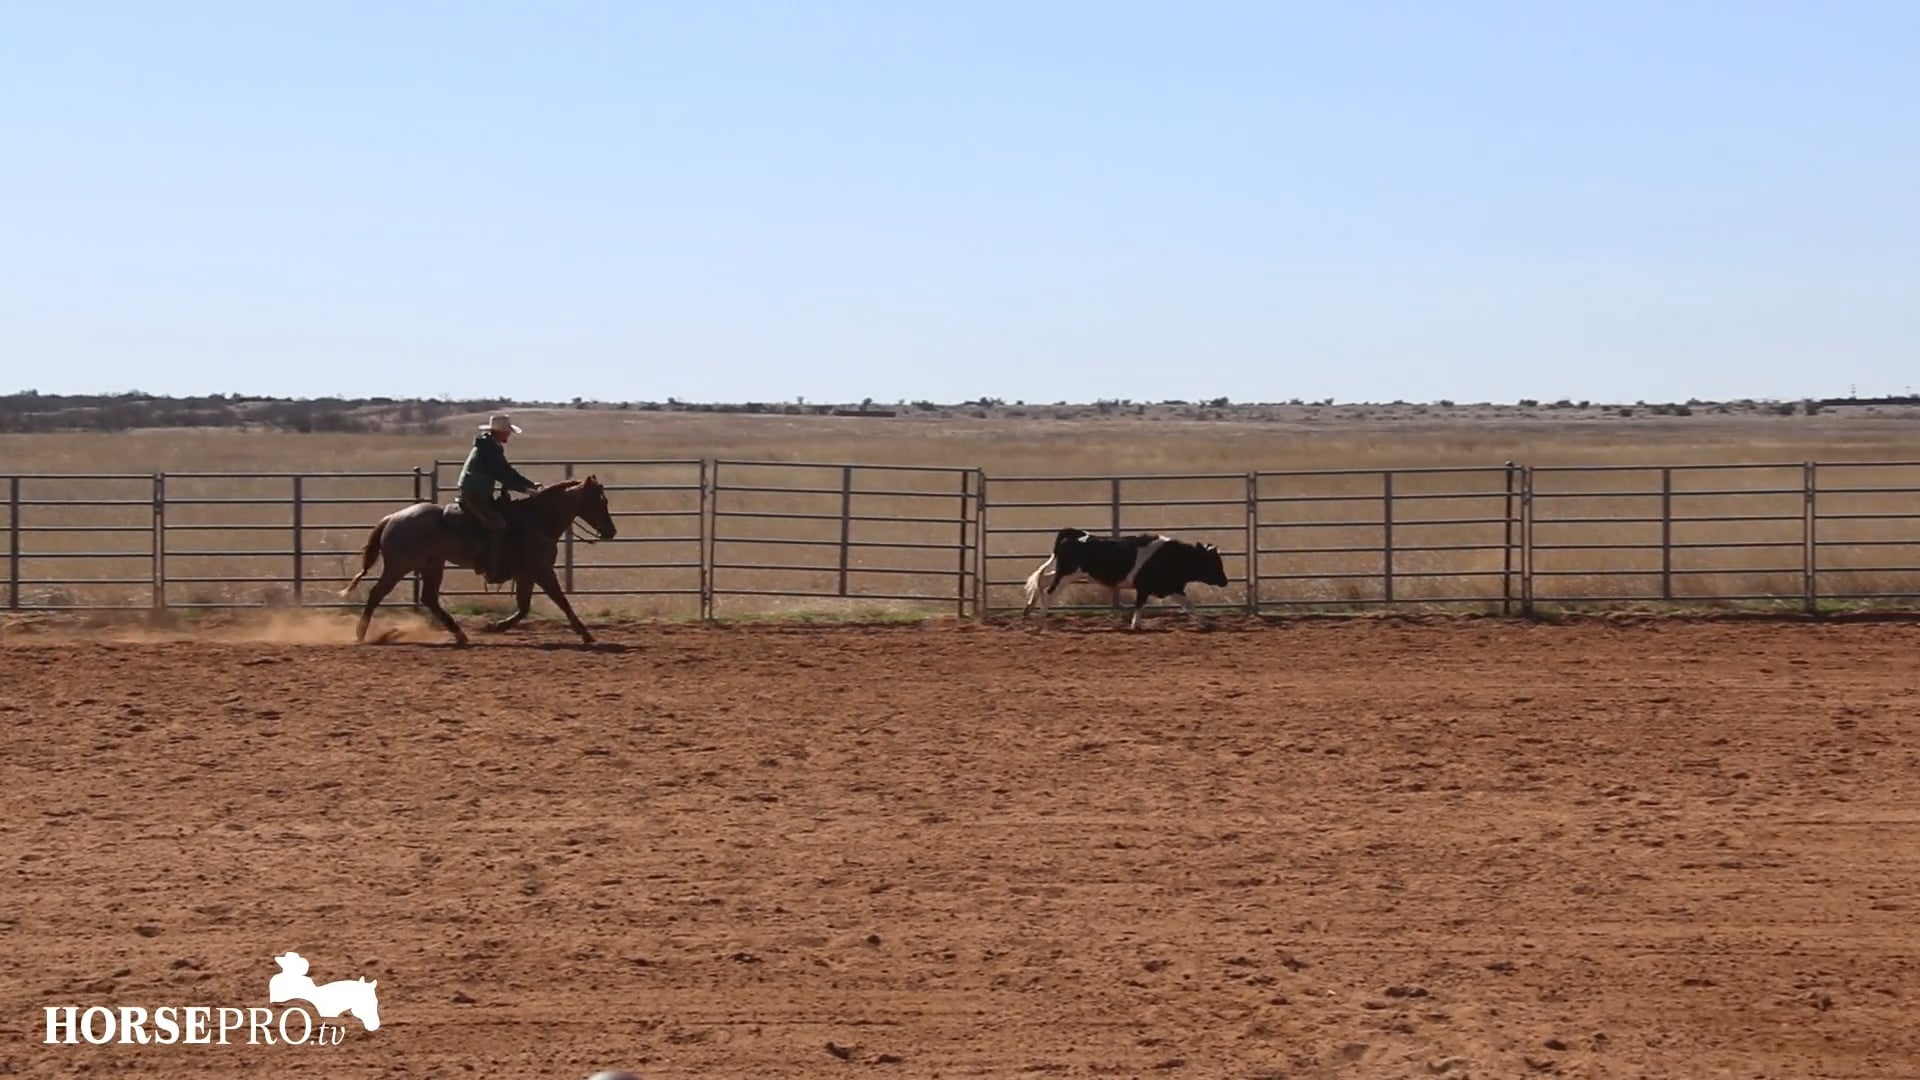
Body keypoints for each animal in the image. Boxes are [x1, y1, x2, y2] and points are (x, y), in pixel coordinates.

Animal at [339, 476, 618, 646]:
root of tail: (392, 518)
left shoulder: (527, 574)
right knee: (376, 594)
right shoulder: (542, 571)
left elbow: (524, 607)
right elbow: (562, 602)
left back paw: (460, 635)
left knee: (429, 598)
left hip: (432, 565)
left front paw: (497, 626)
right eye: (599, 500)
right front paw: (586, 634)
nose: (611, 531)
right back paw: (360, 634)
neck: (538, 520)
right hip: (399, 567)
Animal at [1021, 527, 1230, 630]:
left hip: (1067, 574)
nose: (1225, 581)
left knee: (1043, 580)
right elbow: (1139, 606)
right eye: (1213, 562)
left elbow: (1189, 605)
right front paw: (1135, 625)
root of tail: (1077, 535)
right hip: (1067, 575)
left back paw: (1030, 608)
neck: (1173, 556)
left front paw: (1206, 623)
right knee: (1050, 591)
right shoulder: (1145, 588)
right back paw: (1042, 618)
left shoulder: (1172, 588)